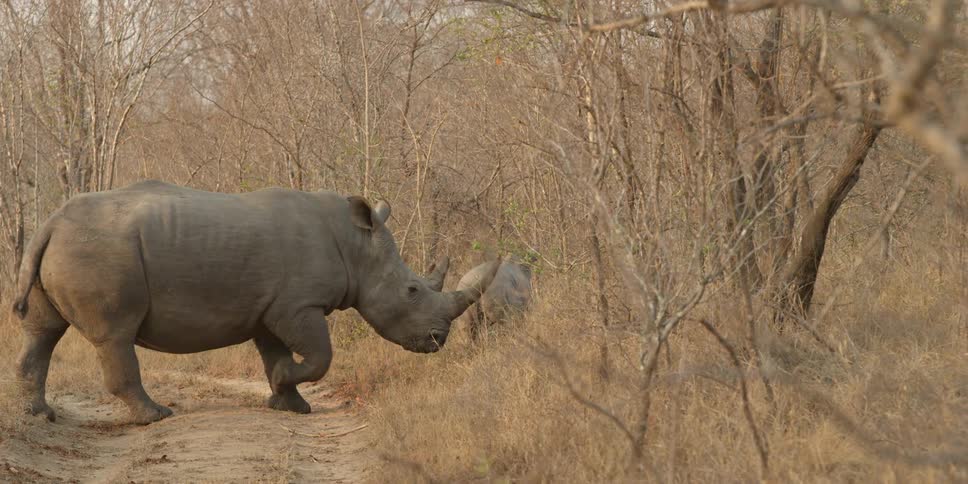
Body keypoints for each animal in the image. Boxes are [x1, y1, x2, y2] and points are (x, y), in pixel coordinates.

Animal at [11, 180, 497, 424]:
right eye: (412, 291)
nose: (438, 339)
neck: (357, 245)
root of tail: (49, 223)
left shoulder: (271, 308)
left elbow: (275, 353)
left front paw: (290, 404)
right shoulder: (299, 304)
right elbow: (320, 356)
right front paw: (287, 389)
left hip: (68, 247)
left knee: (43, 331)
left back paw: (40, 415)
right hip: (100, 251)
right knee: (115, 335)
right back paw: (156, 416)